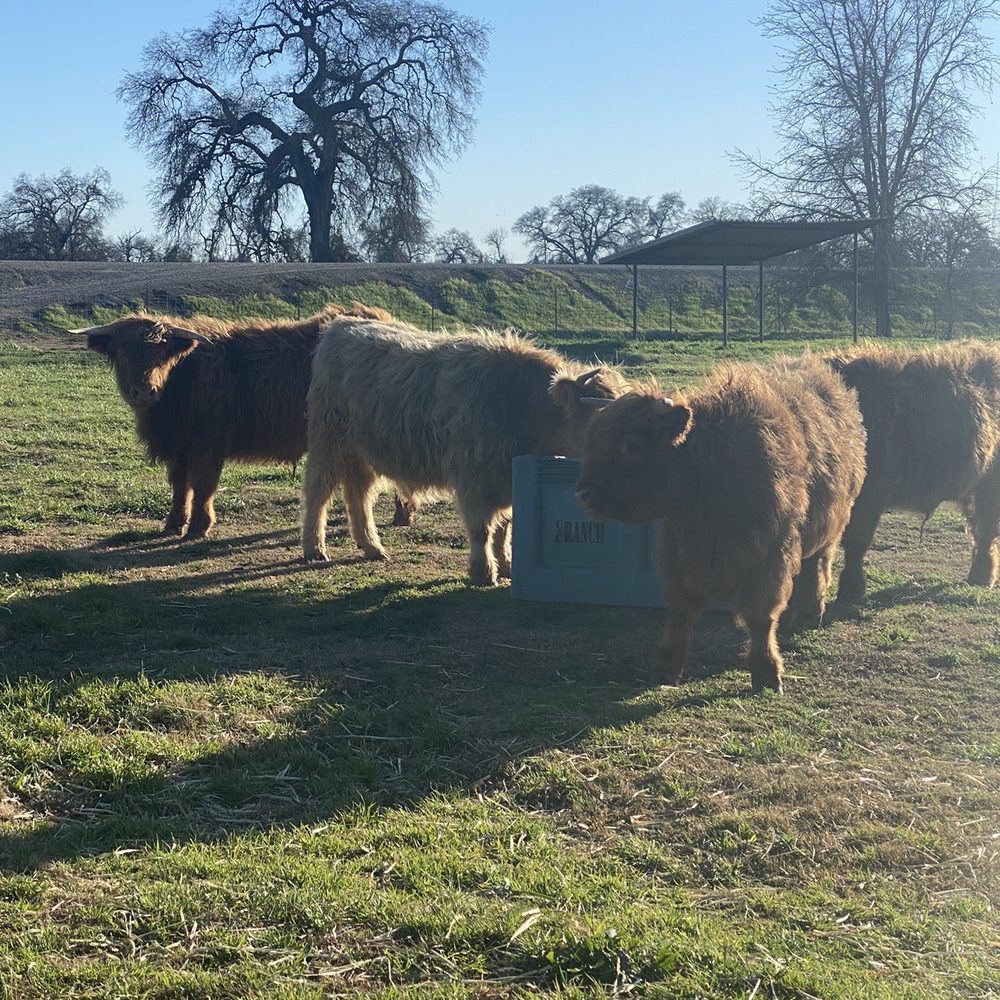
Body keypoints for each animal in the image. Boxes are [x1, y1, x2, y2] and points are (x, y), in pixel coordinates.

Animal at [79, 303, 407, 540]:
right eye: (123, 353)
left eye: (162, 353)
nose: (145, 391)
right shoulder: (179, 447)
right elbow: (180, 485)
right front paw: (173, 524)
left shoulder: (208, 445)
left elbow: (203, 485)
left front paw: (198, 527)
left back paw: (403, 513)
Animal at [301, 315, 626, 585]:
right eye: (596, 423)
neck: (519, 404)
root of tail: (340, 325)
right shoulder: (475, 477)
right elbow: (481, 529)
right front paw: (483, 572)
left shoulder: (506, 480)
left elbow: (504, 528)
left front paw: (507, 566)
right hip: (328, 440)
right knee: (318, 492)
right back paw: (314, 548)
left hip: (364, 451)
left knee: (358, 494)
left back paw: (371, 546)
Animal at [573, 355, 866, 693]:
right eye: (591, 439)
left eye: (630, 445)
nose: (583, 493)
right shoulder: (678, 553)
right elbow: (680, 611)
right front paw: (666, 668)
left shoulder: (769, 557)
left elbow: (760, 616)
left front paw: (767, 672)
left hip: (829, 530)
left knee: (817, 567)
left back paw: (811, 612)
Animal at [828, 341, 1000, 604]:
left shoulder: (869, 496)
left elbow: (856, 542)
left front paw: (850, 591)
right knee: (979, 527)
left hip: (989, 483)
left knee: (986, 527)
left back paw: (980, 577)